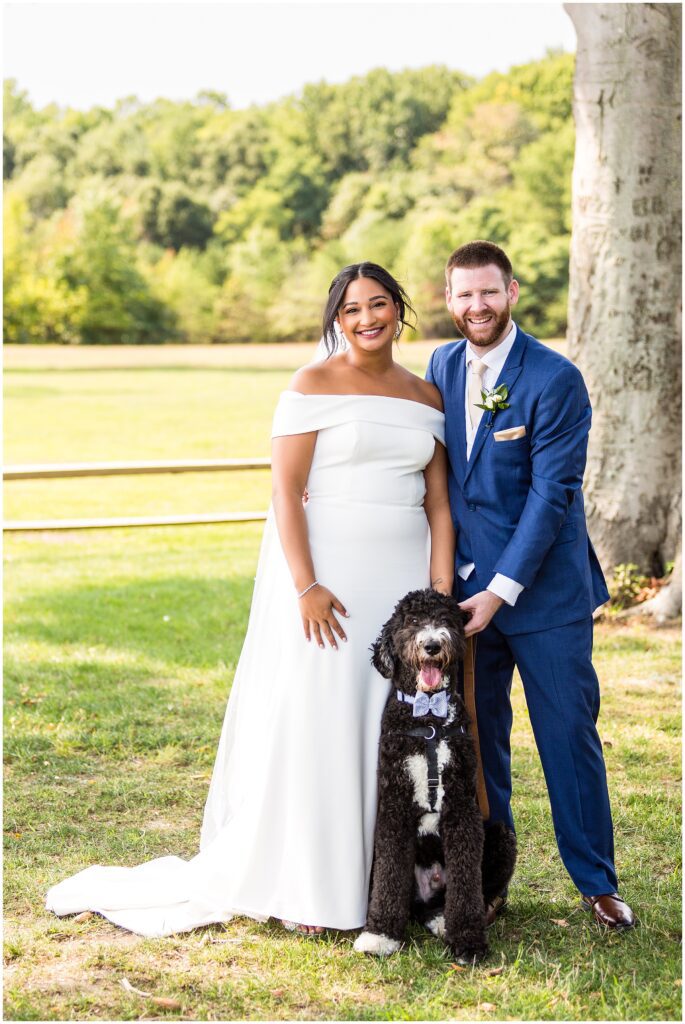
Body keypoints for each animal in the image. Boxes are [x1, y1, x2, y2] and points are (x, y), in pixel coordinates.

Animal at [352, 589, 511, 962]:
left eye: (446, 619)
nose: (432, 645)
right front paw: (380, 934)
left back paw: (443, 919)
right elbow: (390, 875)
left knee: (458, 896)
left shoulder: (462, 808)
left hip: (500, 835)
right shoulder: (394, 807)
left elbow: (467, 883)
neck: (429, 721)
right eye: (411, 622)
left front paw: (468, 940)